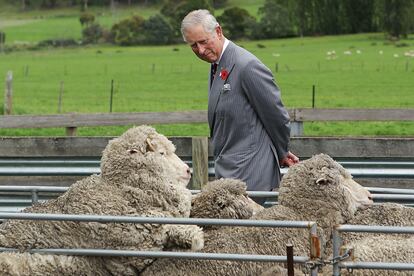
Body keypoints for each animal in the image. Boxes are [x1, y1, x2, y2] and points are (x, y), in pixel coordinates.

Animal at [0, 126, 204, 274]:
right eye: (161, 153)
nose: (188, 170)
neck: (122, 190)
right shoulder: (133, 250)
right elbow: (167, 227)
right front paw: (194, 236)